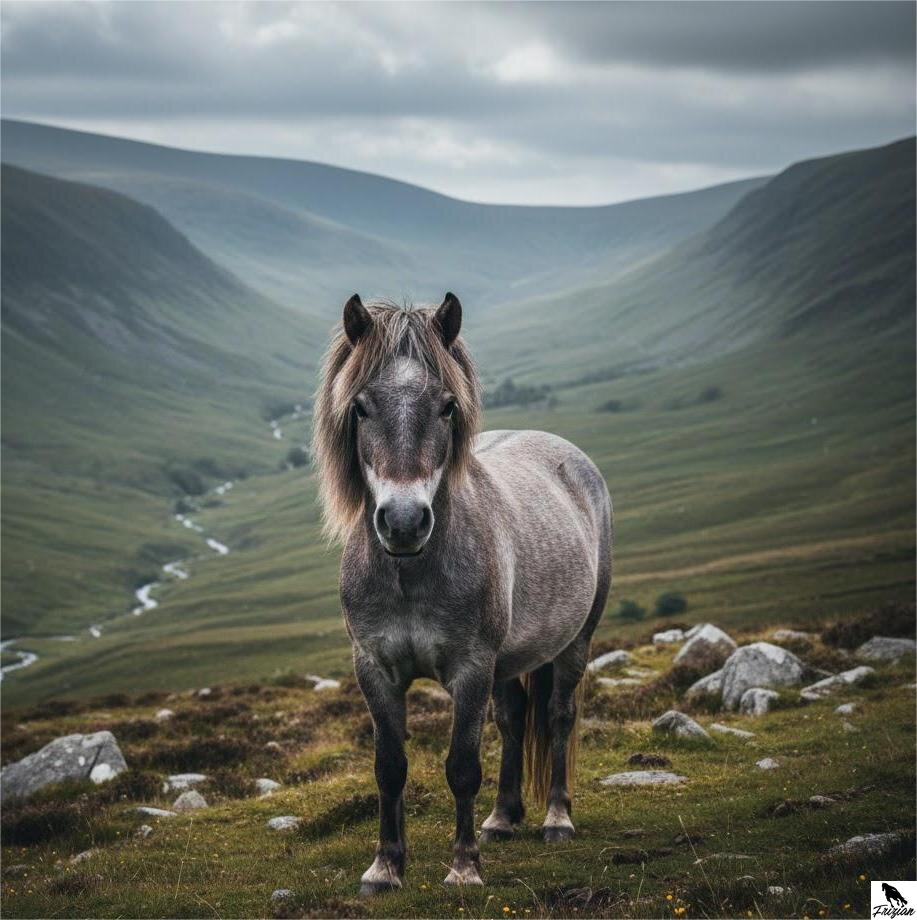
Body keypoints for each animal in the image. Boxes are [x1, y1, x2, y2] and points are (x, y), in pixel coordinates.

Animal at [312, 293, 613, 895]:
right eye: (360, 408)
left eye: (448, 406)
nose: (404, 522)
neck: (410, 575)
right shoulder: (374, 669)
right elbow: (390, 766)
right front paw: (385, 867)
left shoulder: (471, 668)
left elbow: (461, 767)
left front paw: (465, 866)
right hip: (510, 661)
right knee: (514, 719)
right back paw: (502, 818)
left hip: (575, 641)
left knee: (558, 715)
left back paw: (556, 819)